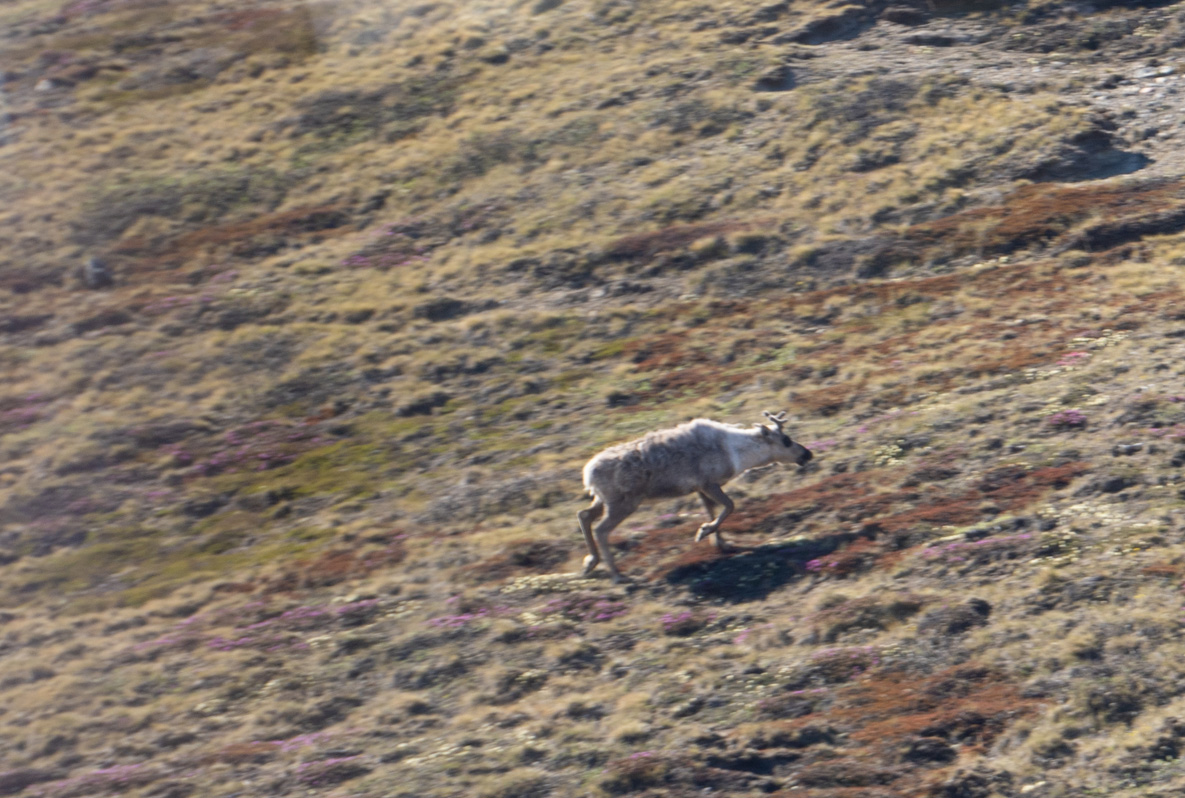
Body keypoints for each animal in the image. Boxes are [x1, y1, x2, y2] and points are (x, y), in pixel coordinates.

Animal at [577, 411, 813, 583]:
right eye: (786, 440)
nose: (808, 454)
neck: (737, 453)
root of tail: (588, 474)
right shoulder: (709, 484)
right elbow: (729, 506)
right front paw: (704, 532)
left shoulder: (701, 489)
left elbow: (713, 511)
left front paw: (720, 543)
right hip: (623, 504)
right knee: (601, 530)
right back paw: (617, 575)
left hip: (602, 500)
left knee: (584, 516)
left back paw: (590, 563)